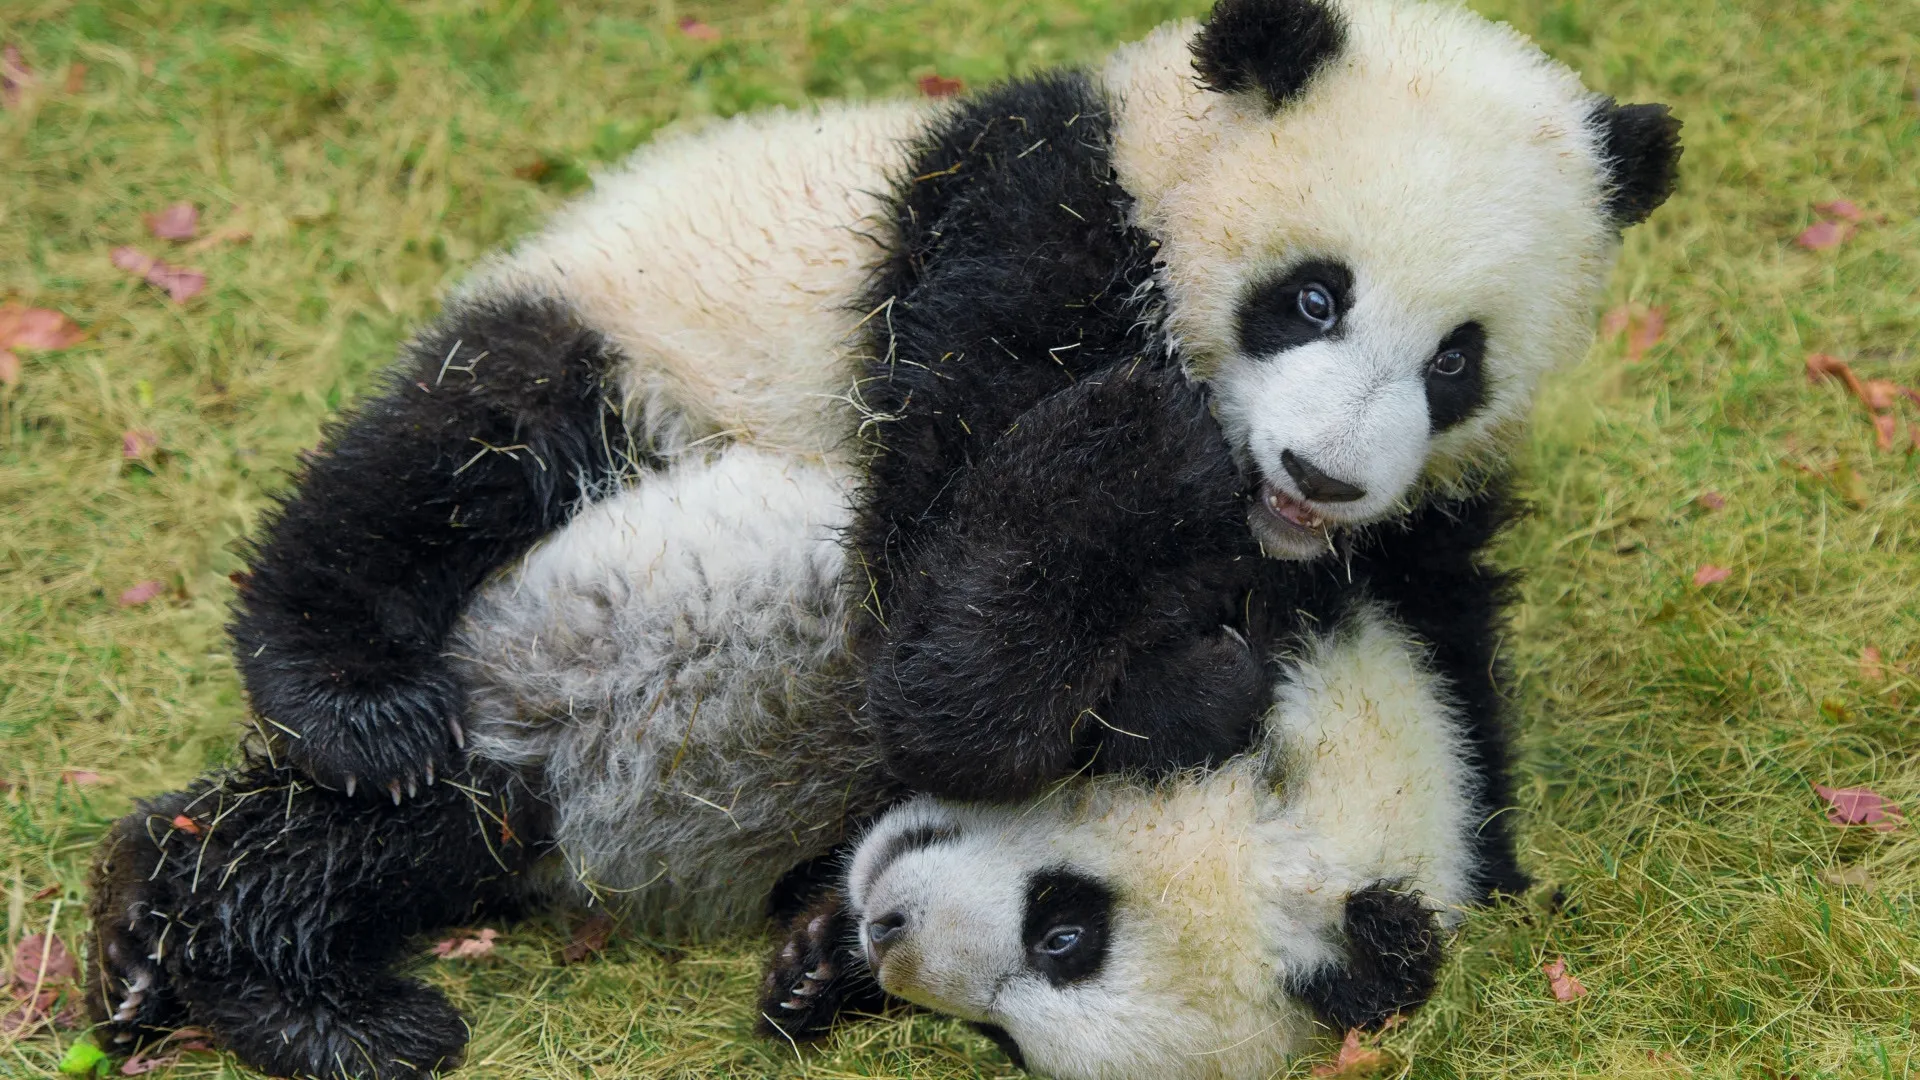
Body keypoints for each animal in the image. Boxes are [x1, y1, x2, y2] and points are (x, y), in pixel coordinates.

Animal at [83, 0, 1681, 1076]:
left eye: (1458, 361)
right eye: (1310, 297)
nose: (1320, 475)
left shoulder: (1414, 532)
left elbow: (1440, 630)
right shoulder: (1014, 236)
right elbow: (935, 641)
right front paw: (1137, 518)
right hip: (633, 342)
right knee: (450, 450)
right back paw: (342, 722)